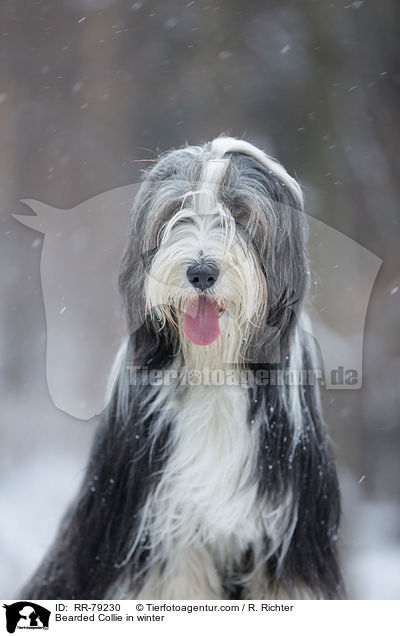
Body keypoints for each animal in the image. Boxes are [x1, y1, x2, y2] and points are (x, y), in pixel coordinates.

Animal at [21, 137, 344, 600]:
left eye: (239, 209)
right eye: (177, 209)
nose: (201, 272)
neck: (213, 372)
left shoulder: (290, 538)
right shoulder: (162, 534)